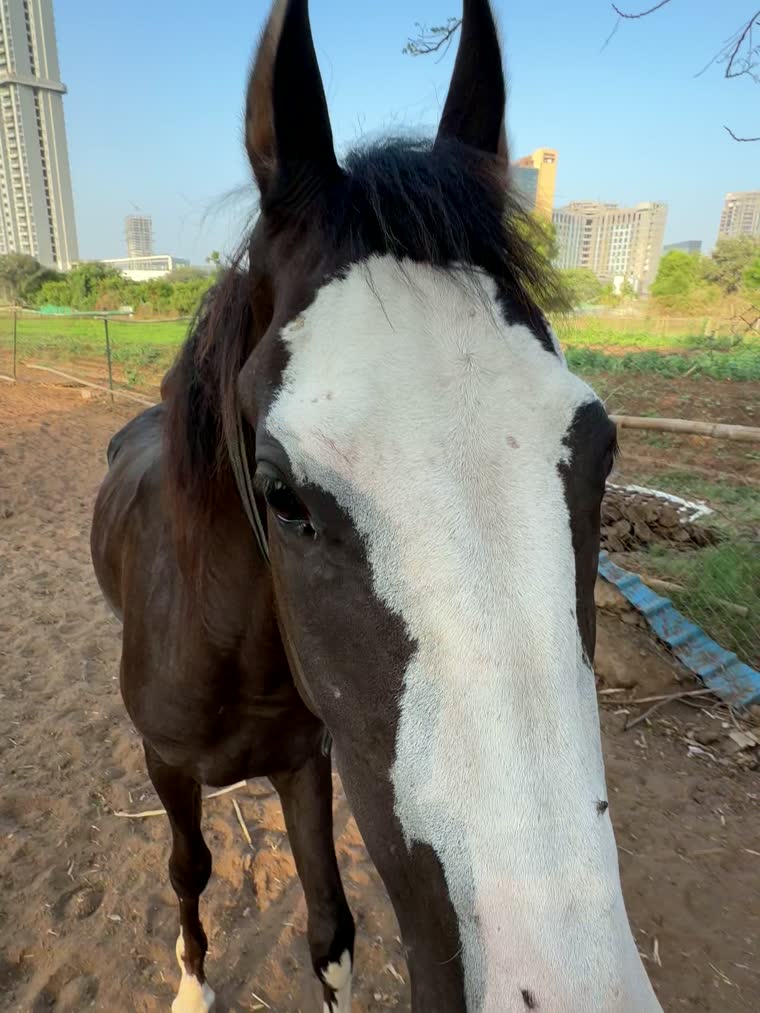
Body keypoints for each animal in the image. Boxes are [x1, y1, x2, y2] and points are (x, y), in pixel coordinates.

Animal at [90, 1, 663, 1010]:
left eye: (602, 453)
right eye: (281, 495)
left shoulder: (307, 764)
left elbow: (331, 929)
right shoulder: (167, 766)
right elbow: (188, 869)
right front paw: (193, 982)